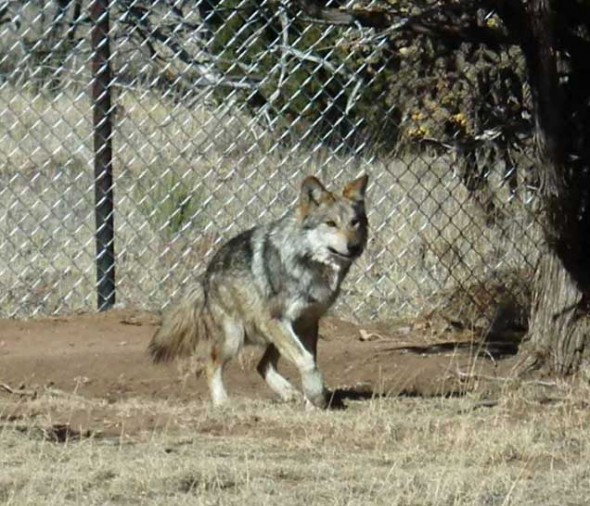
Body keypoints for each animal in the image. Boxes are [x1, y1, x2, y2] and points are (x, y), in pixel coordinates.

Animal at [148, 174, 370, 408]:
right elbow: (307, 361)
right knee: (211, 363)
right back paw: (222, 403)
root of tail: (205, 275)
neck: (309, 264)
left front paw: (313, 402)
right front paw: (316, 395)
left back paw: (288, 393)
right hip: (236, 337)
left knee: (262, 365)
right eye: (331, 224)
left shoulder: (308, 322)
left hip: (277, 332)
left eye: (354, 222)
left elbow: (309, 361)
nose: (354, 247)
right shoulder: (276, 319)